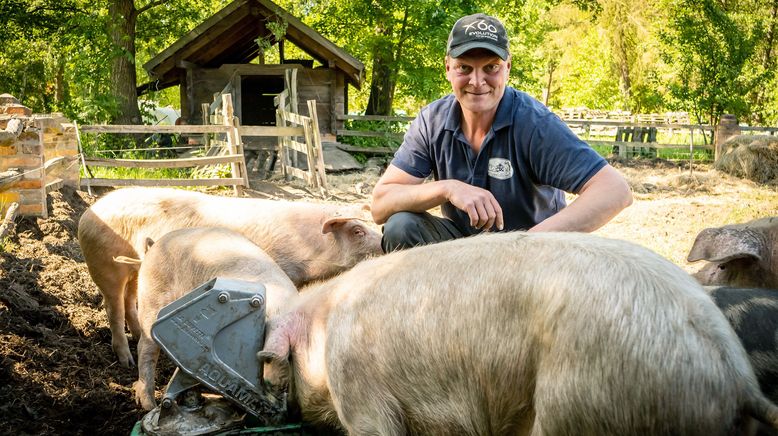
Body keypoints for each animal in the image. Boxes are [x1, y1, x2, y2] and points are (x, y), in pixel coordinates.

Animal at [77, 187, 380, 368]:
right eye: (357, 231)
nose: (384, 242)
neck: (312, 248)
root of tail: (88, 212)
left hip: (134, 270)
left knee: (130, 299)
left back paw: (139, 333)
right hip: (104, 265)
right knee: (113, 307)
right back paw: (126, 361)